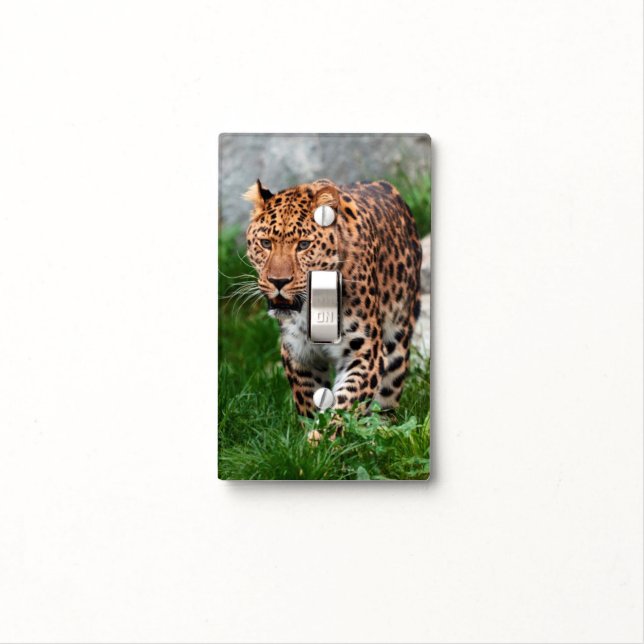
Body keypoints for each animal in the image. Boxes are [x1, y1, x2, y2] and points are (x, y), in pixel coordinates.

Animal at [244, 177, 422, 418]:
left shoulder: (365, 352)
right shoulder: (298, 353)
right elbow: (309, 404)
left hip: (397, 339)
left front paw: (329, 428)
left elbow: (345, 405)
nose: (278, 281)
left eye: (303, 245)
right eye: (265, 243)